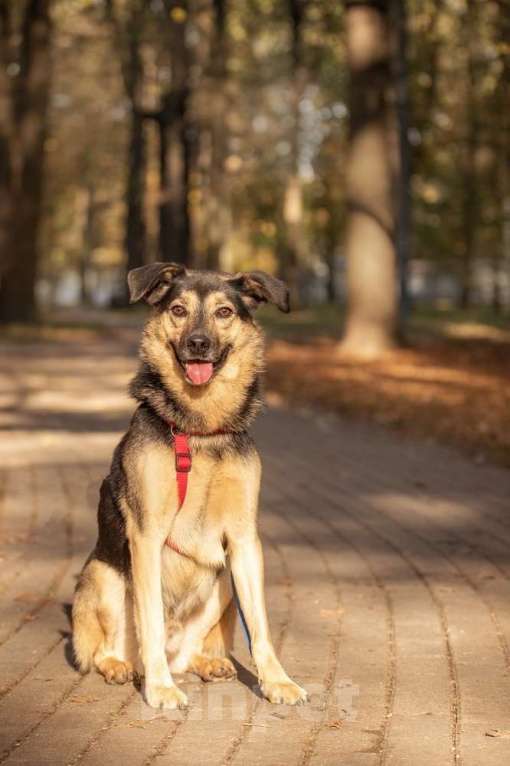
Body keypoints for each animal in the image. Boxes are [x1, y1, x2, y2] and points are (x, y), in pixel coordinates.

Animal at [71, 264, 306, 712]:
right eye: (178, 309)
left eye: (224, 312)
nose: (198, 344)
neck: (200, 430)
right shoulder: (146, 536)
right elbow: (150, 622)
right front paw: (161, 689)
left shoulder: (244, 540)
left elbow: (261, 628)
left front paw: (277, 681)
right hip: (103, 574)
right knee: (108, 647)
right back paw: (124, 668)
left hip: (224, 582)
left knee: (194, 649)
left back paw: (209, 663)